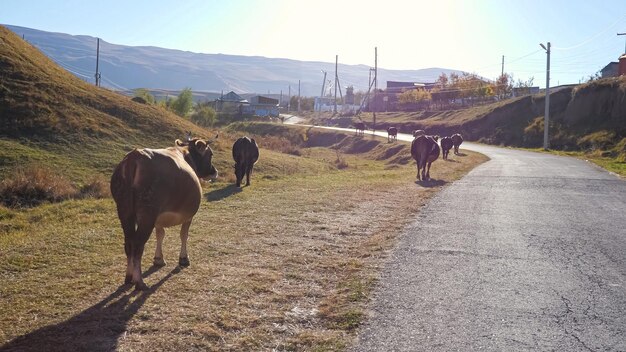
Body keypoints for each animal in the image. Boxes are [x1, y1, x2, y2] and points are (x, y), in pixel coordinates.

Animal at [111, 136, 218, 290]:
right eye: (210, 154)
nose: (214, 171)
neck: (186, 155)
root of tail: (135, 157)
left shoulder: (159, 219)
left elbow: (160, 235)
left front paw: (158, 259)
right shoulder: (189, 215)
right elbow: (184, 235)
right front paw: (184, 258)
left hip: (125, 211)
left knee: (129, 242)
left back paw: (129, 277)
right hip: (147, 214)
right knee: (138, 245)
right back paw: (139, 282)